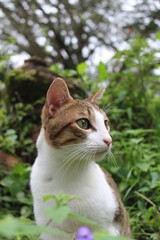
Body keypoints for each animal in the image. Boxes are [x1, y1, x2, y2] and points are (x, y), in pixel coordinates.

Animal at [30, 78, 131, 239]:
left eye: (106, 123)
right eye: (83, 123)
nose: (109, 140)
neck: (68, 171)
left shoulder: (111, 226)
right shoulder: (51, 228)